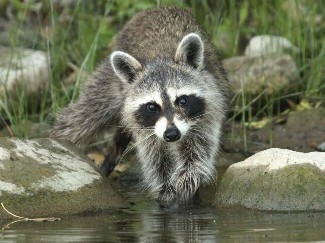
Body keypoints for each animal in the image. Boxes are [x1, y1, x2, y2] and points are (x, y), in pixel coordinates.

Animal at [50, 6, 228, 207]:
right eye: (152, 107)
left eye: (182, 101)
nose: (171, 134)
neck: (161, 56)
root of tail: (155, 9)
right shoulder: (145, 130)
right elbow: (156, 160)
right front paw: (165, 191)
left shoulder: (208, 111)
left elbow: (198, 151)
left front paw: (187, 182)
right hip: (109, 81)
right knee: (82, 117)